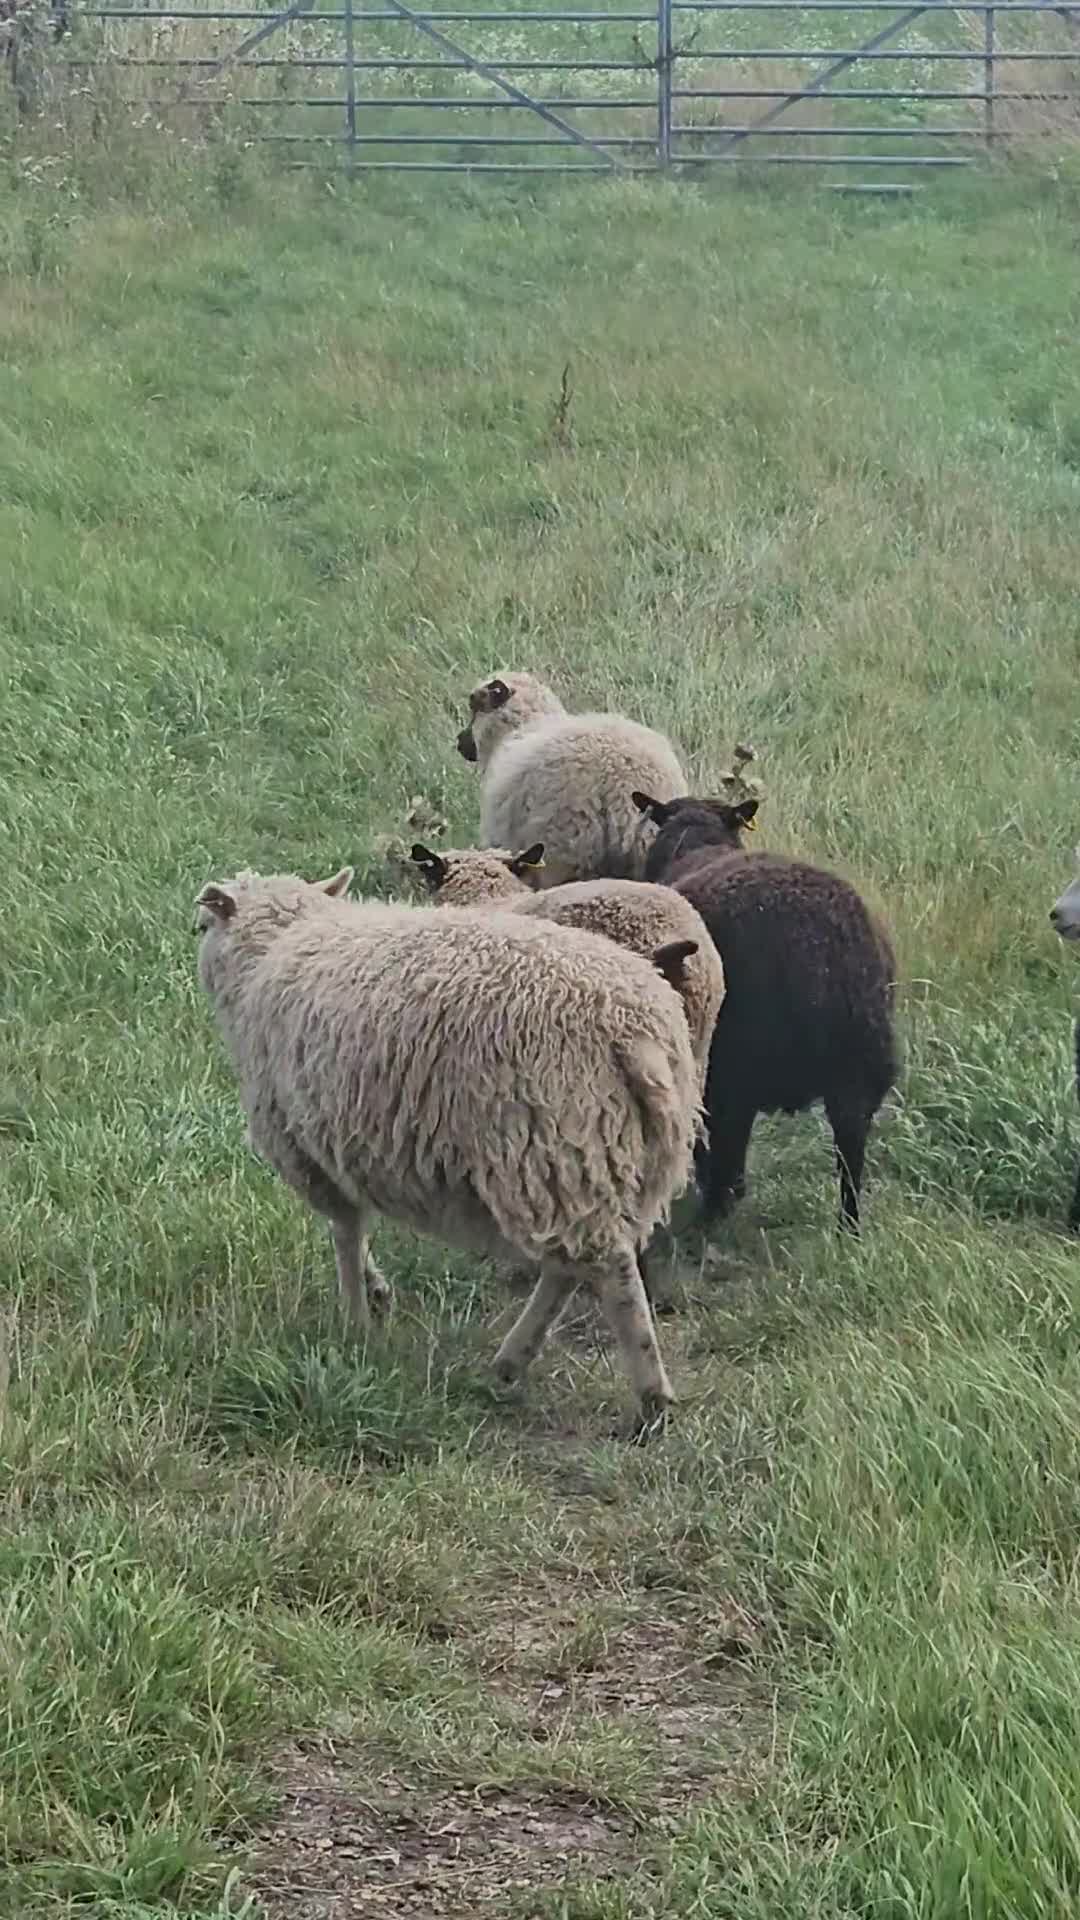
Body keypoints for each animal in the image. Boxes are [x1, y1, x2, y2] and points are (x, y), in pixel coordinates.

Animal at [195, 866, 699, 1423]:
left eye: (201, 926)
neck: (275, 949)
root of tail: (635, 1029)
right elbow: (353, 1231)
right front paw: (375, 1293)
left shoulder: (307, 1146)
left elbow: (345, 1232)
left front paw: (354, 1320)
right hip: (600, 1157)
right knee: (570, 1267)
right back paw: (511, 1362)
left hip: (552, 1144)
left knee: (609, 1271)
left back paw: (650, 1395)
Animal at [633, 792, 898, 1235]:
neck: (696, 844)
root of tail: (819, 949)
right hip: (860, 1067)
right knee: (850, 1150)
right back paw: (849, 1227)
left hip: (733, 1058)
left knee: (728, 1136)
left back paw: (712, 1211)